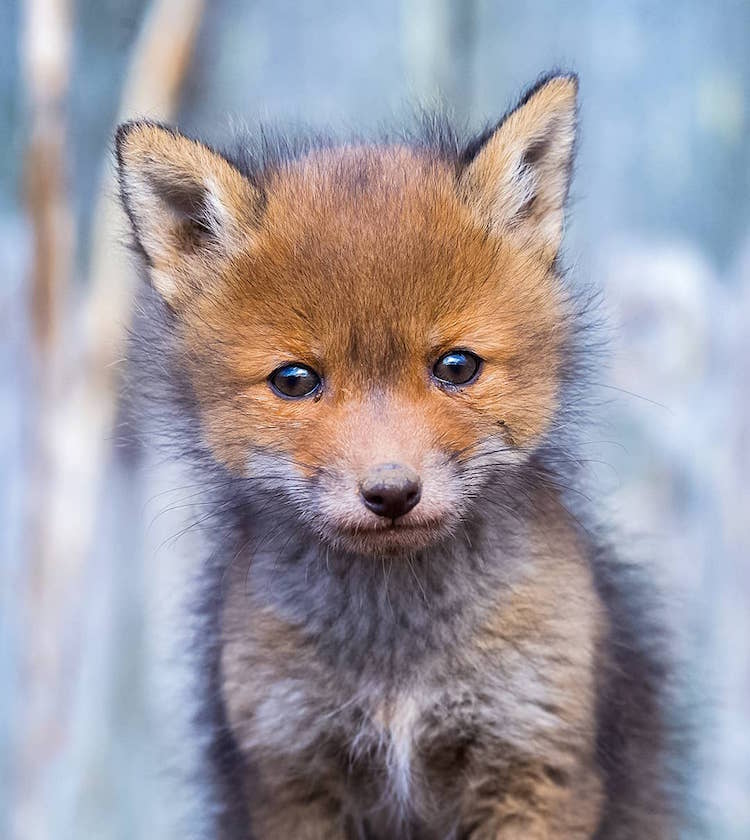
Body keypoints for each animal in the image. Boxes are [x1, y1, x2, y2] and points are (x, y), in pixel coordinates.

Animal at [116, 75, 680, 836]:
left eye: (456, 366)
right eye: (294, 380)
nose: (390, 493)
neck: (398, 662)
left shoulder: (532, 760)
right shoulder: (293, 772)